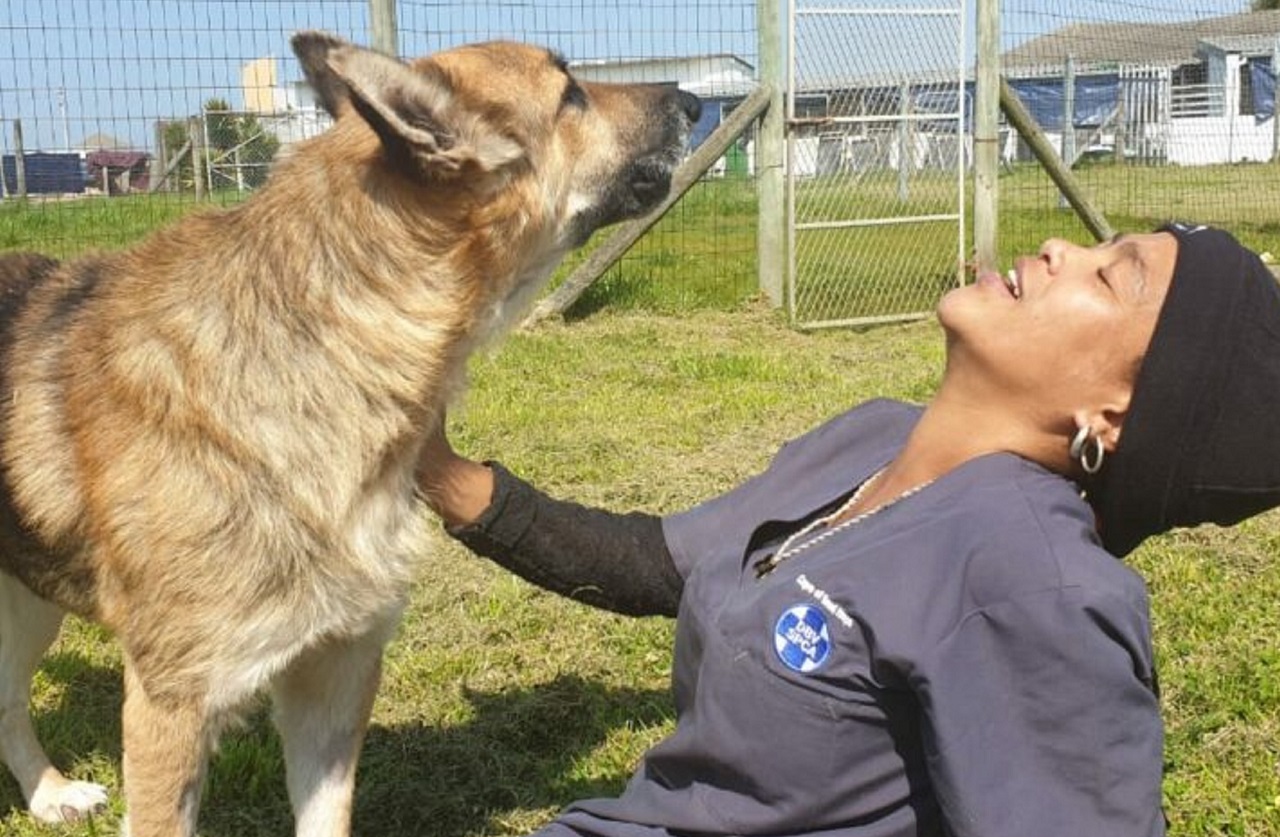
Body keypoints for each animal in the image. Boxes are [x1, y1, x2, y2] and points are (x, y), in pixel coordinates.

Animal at [0, 31, 701, 837]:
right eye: (570, 94)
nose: (694, 102)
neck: (324, 344)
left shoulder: (334, 679)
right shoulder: (171, 705)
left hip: (34, 599)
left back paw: (48, 792)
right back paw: (48, 791)